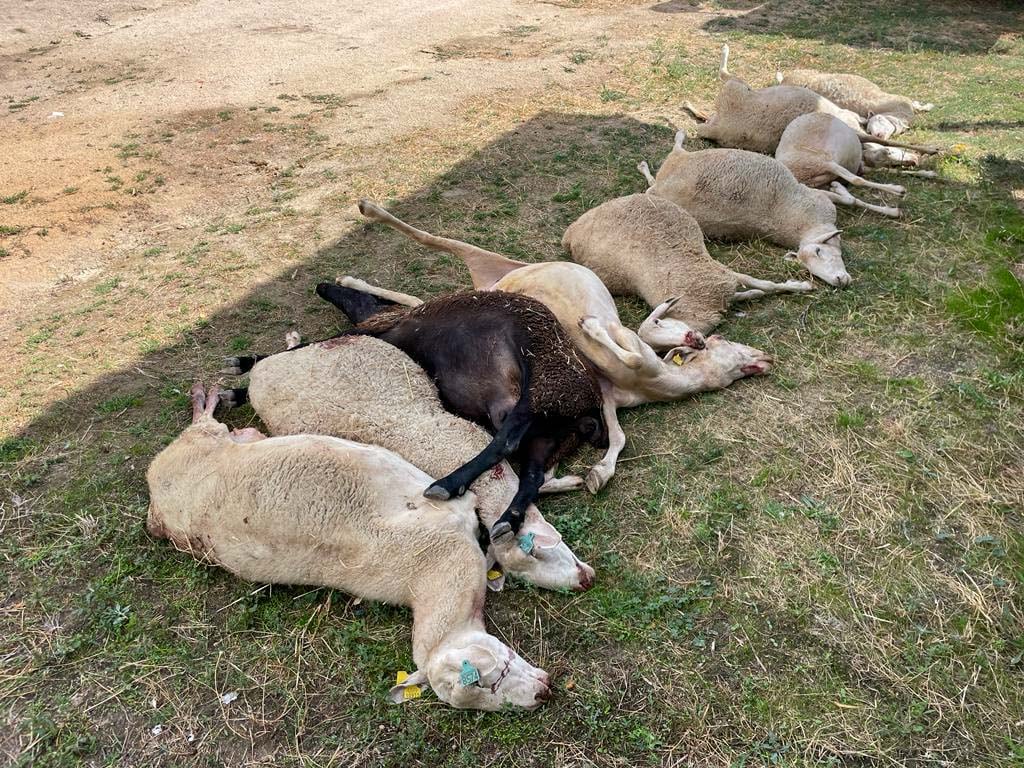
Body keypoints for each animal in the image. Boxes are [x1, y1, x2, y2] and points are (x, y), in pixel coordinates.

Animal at [146, 382, 552, 712]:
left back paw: (206, 398)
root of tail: (155, 508)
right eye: (484, 686)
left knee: (211, 427)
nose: (541, 694)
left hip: (202, 445)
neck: (430, 574)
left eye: (487, 676)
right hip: (195, 452)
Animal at [638, 132, 847, 288]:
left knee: (652, 183)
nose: (840, 281)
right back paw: (676, 138)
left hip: (666, 177)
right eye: (818, 251)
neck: (810, 226)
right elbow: (849, 199)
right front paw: (839, 187)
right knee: (675, 149)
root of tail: (662, 185)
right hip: (678, 159)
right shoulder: (818, 198)